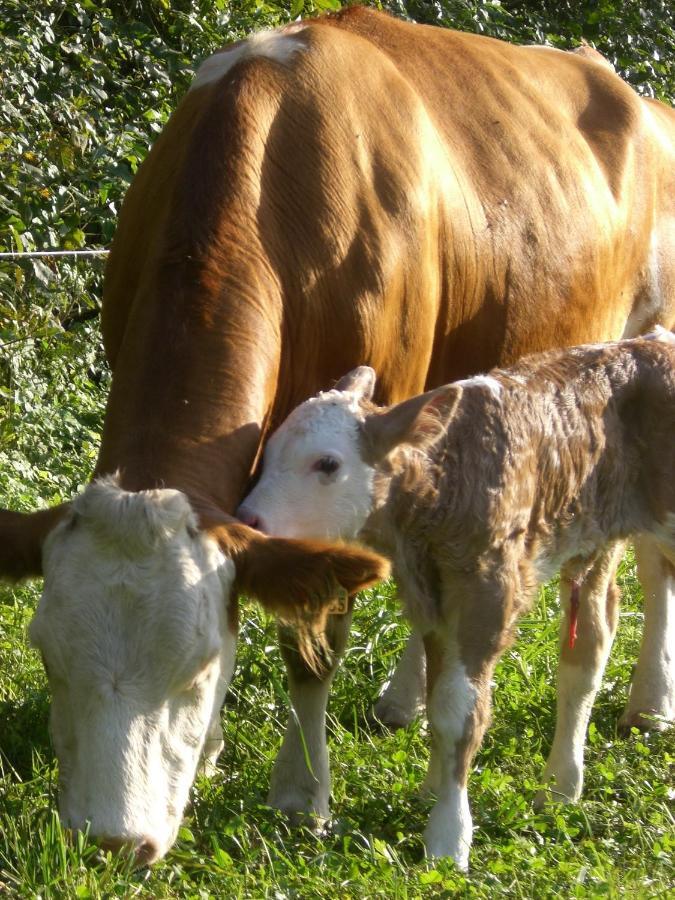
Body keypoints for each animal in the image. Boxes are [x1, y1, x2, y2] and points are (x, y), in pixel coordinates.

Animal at [240, 332, 675, 872]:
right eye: (269, 453)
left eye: (328, 464)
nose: (248, 519)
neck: (442, 480)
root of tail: (654, 340)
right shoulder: (434, 602)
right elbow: (436, 694)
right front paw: (433, 788)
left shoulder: (487, 595)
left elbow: (458, 712)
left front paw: (448, 838)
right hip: (594, 537)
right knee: (590, 643)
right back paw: (561, 786)